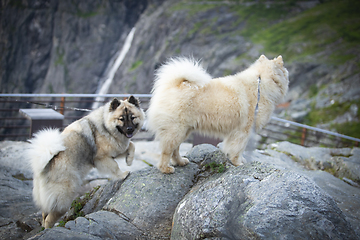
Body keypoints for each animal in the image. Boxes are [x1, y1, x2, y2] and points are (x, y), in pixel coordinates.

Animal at [27, 95, 145, 227]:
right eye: (121, 119)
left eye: (133, 117)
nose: (129, 129)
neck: (105, 126)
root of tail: (44, 165)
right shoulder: (102, 158)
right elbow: (114, 166)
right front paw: (122, 174)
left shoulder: (116, 149)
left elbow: (131, 145)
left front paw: (129, 159)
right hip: (64, 196)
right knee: (50, 218)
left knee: (44, 214)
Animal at [147, 55, 290, 173]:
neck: (260, 83)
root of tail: (175, 84)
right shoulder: (244, 131)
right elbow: (238, 149)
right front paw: (238, 163)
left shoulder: (236, 132)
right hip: (176, 129)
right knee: (167, 151)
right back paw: (166, 168)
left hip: (184, 130)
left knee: (175, 149)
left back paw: (181, 162)